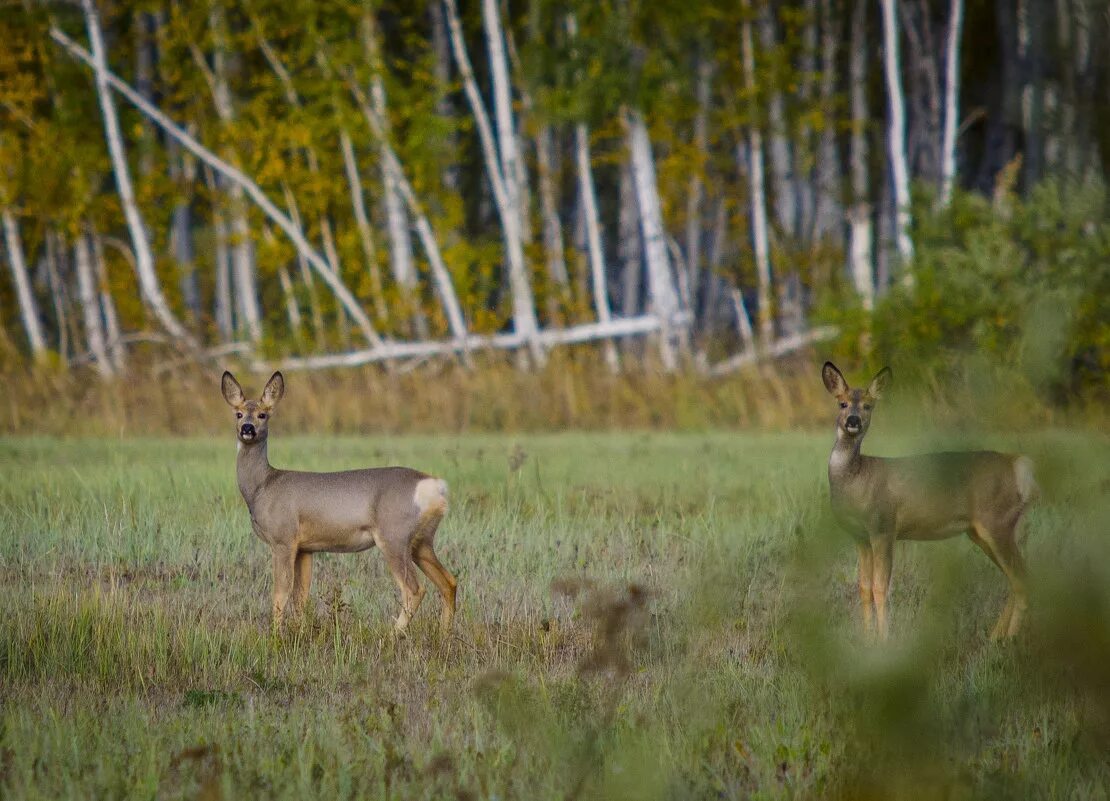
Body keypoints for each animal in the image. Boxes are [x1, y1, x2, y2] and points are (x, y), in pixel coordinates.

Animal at [220, 370, 455, 634]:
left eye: (263, 414)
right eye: (238, 413)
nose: (247, 428)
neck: (262, 487)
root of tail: (435, 487)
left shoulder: (283, 539)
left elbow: (281, 593)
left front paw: (275, 636)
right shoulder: (306, 548)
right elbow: (300, 597)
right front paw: (300, 633)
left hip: (394, 535)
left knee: (415, 589)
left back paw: (393, 634)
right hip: (421, 540)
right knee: (449, 582)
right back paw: (444, 634)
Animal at [821, 361, 1034, 634]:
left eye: (868, 405)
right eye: (842, 403)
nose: (853, 420)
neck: (858, 479)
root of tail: (1018, 466)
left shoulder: (883, 527)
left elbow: (880, 588)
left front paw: (884, 639)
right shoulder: (861, 537)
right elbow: (864, 588)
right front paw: (866, 637)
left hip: (997, 521)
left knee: (1023, 580)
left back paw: (1007, 639)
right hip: (981, 531)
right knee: (1014, 579)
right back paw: (996, 636)